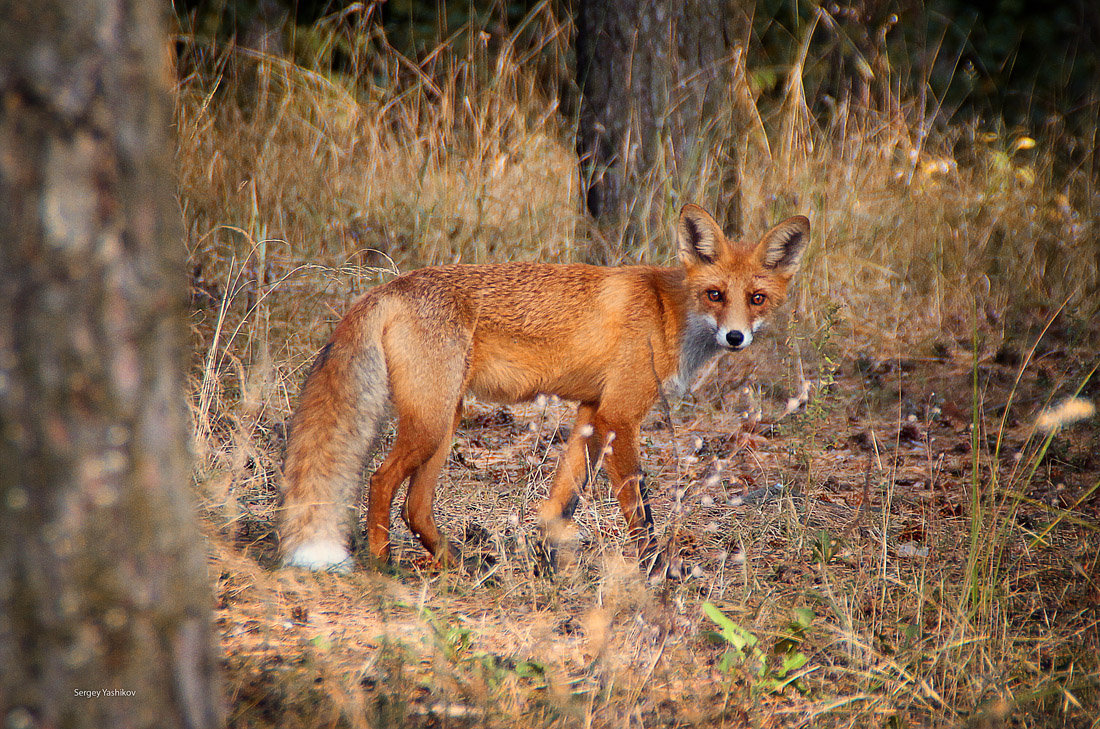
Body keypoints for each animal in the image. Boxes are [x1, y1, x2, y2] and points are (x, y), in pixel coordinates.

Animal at [275, 202, 809, 571]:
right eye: (715, 294)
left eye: (757, 298)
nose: (735, 337)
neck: (666, 313)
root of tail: (388, 287)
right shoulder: (620, 416)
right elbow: (641, 513)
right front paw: (657, 573)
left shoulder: (592, 412)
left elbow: (559, 504)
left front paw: (550, 563)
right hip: (429, 423)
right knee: (380, 482)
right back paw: (383, 563)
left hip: (445, 420)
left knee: (416, 506)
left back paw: (458, 565)